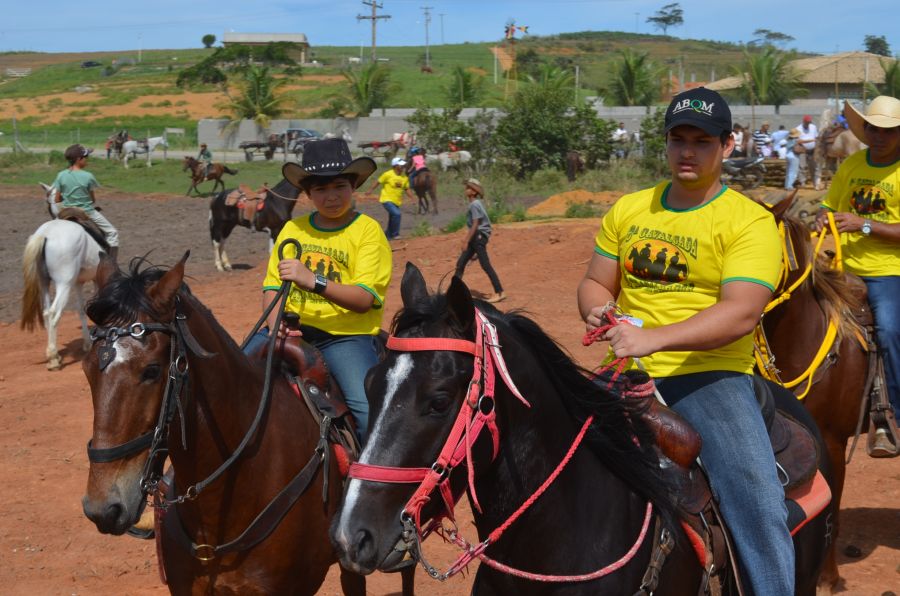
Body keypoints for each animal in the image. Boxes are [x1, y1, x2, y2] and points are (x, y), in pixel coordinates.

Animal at [21, 219, 103, 368]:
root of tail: (45, 234)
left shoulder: (78, 283)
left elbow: (81, 310)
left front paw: (88, 343)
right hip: (64, 285)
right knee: (54, 312)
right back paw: (53, 358)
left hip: (45, 284)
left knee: (46, 312)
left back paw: (54, 354)